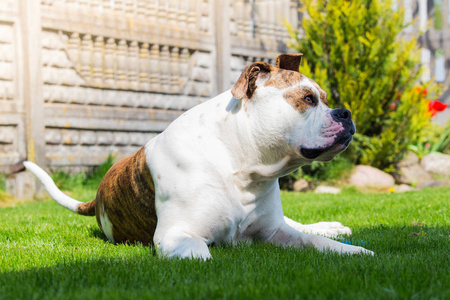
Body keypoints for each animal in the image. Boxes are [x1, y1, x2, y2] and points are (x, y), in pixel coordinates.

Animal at [26, 53, 374, 258]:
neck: (239, 164)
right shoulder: (176, 235)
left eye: (325, 99)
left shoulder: (275, 231)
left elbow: (316, 243)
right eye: (308, 99)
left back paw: (330, 226)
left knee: (300, 225)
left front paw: (350, 249)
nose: (345, 113)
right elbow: (200, 255)